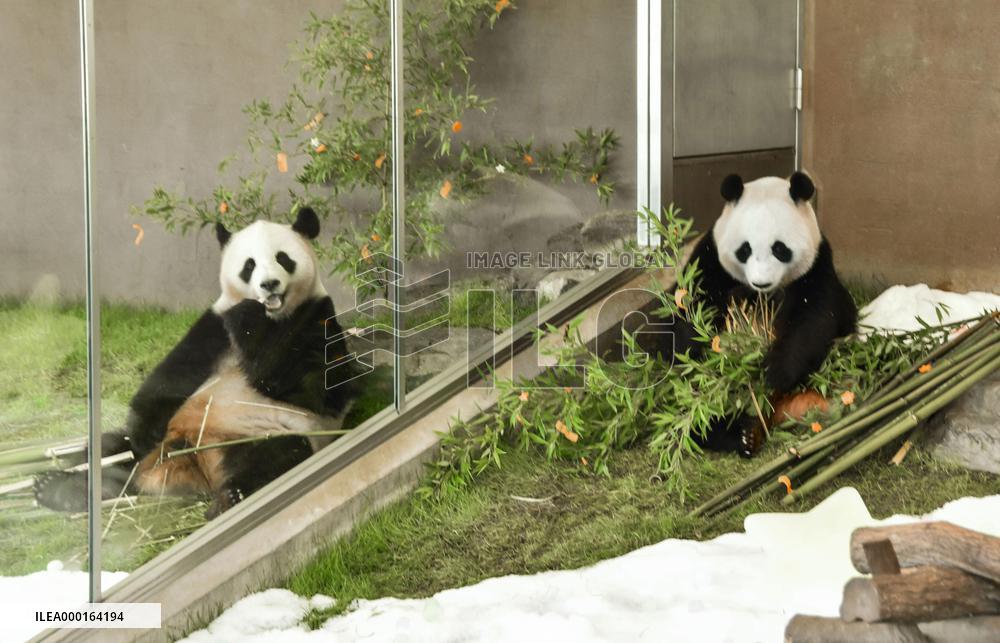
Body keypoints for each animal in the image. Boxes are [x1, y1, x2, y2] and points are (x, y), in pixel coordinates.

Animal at [34, 208, 357, 518]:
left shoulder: (316, 316)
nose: (269, 285)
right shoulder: (214, 329)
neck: (274, 319)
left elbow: (318, 389)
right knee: (112, 450)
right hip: (159, 446)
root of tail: (191, 466)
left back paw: (229, 498)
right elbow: (169, 380)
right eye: (249, 265)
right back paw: (62, 487)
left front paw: (251, 320)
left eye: (283, 258)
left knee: (276, 453)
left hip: (254, 435)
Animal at [653, 172, 857, 457]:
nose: (761, 283)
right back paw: (738, 435)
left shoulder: (817, 269)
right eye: (745, 249)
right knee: (689, 408)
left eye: (780, 249)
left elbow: (813, 321)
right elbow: (688, 316)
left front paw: (773, 372)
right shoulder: (709, 263)